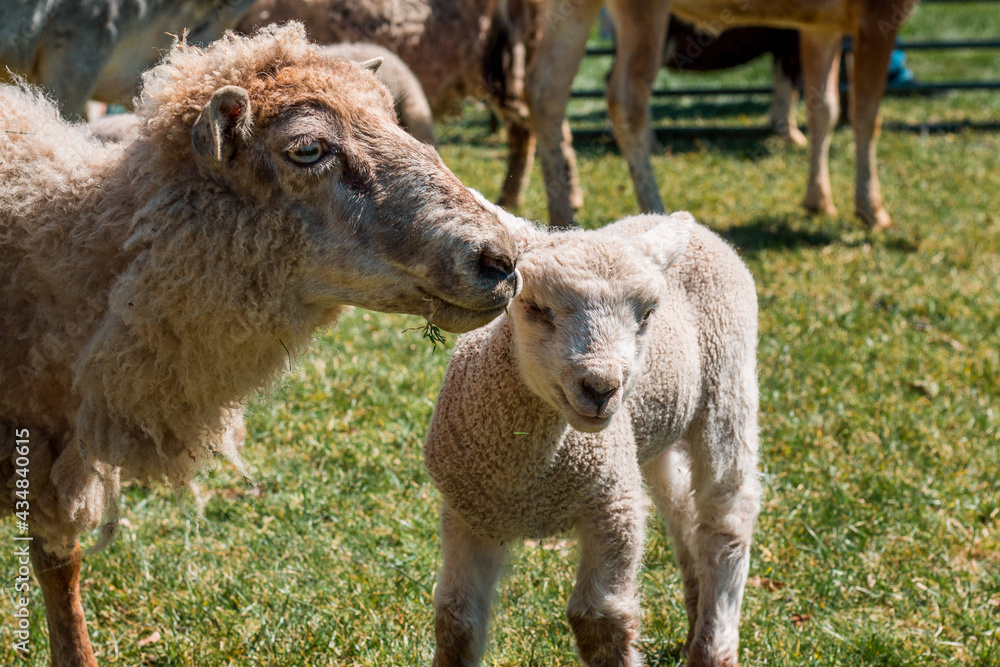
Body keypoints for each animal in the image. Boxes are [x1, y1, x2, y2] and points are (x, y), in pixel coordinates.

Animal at [424, 206, 762, 666]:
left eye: (646, 315)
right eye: (535, 307)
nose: (601, 388)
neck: (530, 485)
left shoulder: (612, 504)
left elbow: (597, 621)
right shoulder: (467, 514)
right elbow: (456, 622)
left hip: (729, 383)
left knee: (725, 518)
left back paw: (713, 646)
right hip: (648, 438)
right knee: (681, 509)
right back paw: (695, 620)